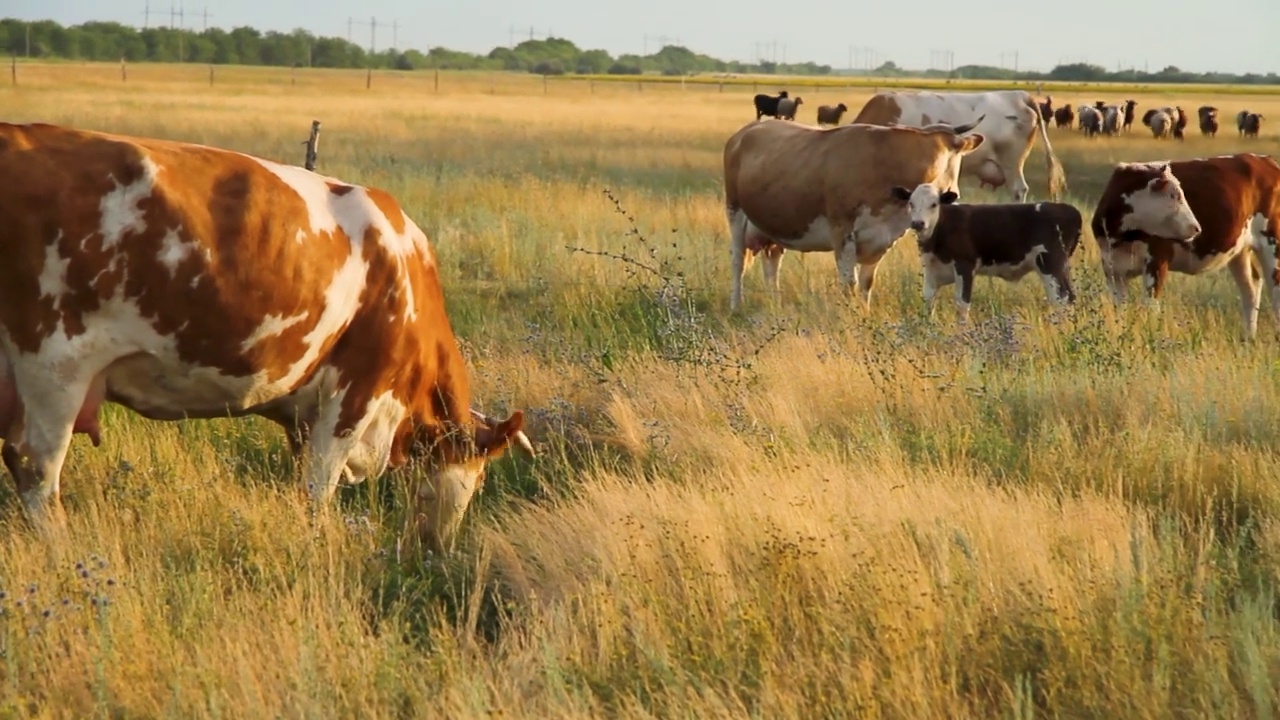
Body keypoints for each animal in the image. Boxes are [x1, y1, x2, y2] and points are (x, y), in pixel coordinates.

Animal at [0, 122, 535, 548]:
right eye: (480, 481)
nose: (437, 548)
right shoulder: (356, 391)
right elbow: (318, 490)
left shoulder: (306, 414)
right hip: (54, 363)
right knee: (35, 467)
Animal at [721, 117, 988, 308]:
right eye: (950, 157)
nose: (955, 193)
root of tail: (746, 131)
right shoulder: (842, 230)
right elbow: (849, 282)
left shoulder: (882, 238)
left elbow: (867, 283)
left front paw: (864, 315)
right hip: (735, 211)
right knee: (737, 262)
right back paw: (736, 306)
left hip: (774, 224)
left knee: (772, 262)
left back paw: (774, 304)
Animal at [890, 184, 1090, 319]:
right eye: (911, 203)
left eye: (934, 204)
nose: (918, 223)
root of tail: (1067, 208)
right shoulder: (931, 269)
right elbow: (928, 301)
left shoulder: (965, 266)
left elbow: (962, 304)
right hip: (1060, 266)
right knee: (1069, 297)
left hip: (1050, 264)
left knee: (1061, 298)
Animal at [1085, 152, 1280, 338]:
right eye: (1175, 195)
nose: (1197, 228)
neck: (1122, 237)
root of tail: (1266, 160)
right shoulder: (1112, 268)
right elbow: (1120, 309)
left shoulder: (1157, 262)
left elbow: (1150, 307)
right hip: (1239, 250)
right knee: (1251, 286)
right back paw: (1248, 337)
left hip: (1272, 243)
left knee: (1274, 286)